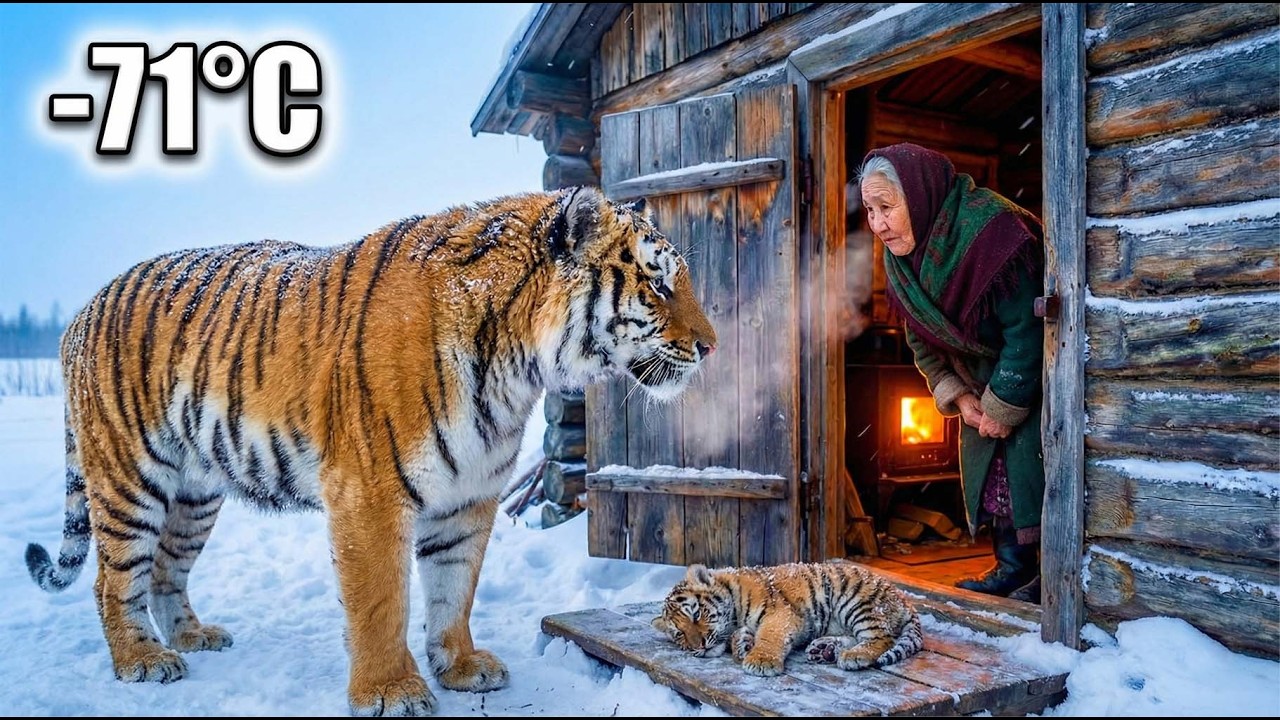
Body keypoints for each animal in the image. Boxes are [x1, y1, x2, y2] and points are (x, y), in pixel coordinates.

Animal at [24, 186, 717, 716]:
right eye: (658, 285)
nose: (712, 346)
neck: (516, 366)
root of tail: (79, 314)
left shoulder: (468, 497)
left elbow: (454, 588)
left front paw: (460, 666)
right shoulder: (371, 493)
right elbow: (382, 600)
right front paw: (392, 692)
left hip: (196, 493)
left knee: (167, 568)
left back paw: (194, 637)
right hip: (129, 479)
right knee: (113, 579)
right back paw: (142, 660)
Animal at [652, 561, 923, 676]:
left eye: (696, 613)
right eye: (679, 634)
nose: (698, 646)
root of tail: (903, 599)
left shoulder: (779, 613)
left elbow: (770, 635)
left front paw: (760, 661)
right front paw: (741, 646)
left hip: (856, 601)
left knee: (882, 637)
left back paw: (853, 656)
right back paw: (825, 649)